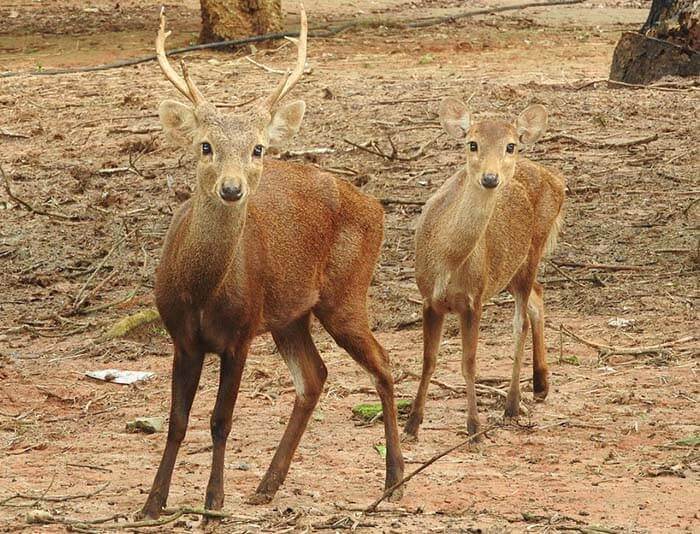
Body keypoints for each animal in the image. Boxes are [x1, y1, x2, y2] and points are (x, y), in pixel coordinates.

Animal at [139, 4, 404, 520]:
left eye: (257, 148)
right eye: (205, 145)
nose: (232, 187)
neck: (200, 291)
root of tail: (376, 205)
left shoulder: (240, 334)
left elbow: (220, 420)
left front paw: (213, 502)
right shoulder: (182, 337)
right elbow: (177, 420)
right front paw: (153, 502)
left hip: (346, 292)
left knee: (382, 363)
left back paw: (394, 481)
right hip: (289, 313)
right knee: (314, 377)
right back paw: (268, 484)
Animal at [402, 98, 568, 442]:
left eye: (510, 145)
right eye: (472, 143)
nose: (490, 178)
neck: (447, 262)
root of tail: (558, 182)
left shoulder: (473, 298)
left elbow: (469, 363)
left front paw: (474, 429)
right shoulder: (427, 298)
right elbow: (428, 360)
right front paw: (412, 424)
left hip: (531, 252)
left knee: (521, 320)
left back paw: (513, 403)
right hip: (510, 270)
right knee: (538, 295)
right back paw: (540, 384)